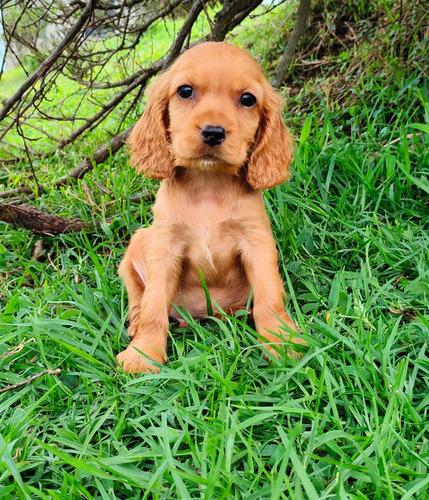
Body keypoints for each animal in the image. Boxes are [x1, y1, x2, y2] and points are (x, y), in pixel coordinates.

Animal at [117, 42, 302, 372]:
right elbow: (153, 304)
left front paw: (281, 341)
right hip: (138, 242)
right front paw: (144, 353)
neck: (208, 187)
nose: (213, 132)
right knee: (138, 297)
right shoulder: (164, 247)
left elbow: (270, 296)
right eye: (185, 91)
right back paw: (136, 324)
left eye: (247, 99)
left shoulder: (257, 241)